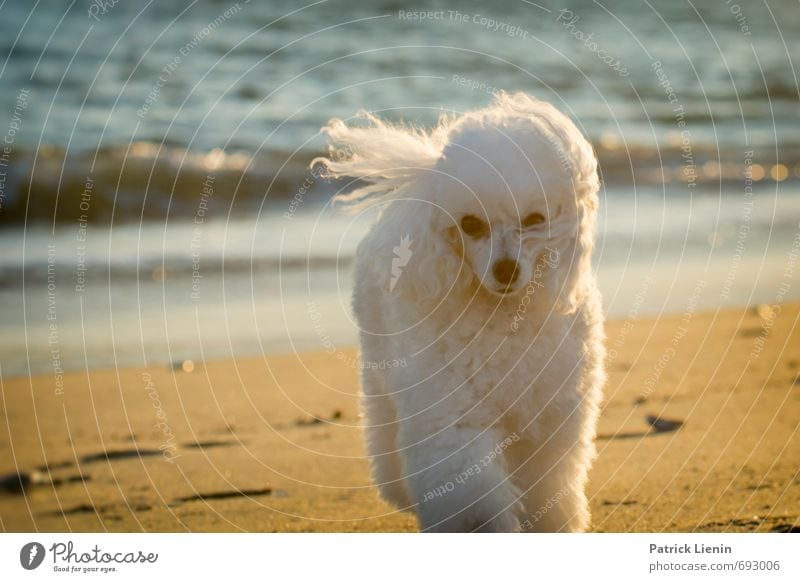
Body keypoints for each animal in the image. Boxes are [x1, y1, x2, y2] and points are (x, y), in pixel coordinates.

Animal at [316, 92, 604, 532]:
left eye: (535, 220)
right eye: (470, 225)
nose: (506, 270)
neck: (503, 314)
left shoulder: (550, 420)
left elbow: (547, 482)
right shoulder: (454, 421)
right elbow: (473, 497)